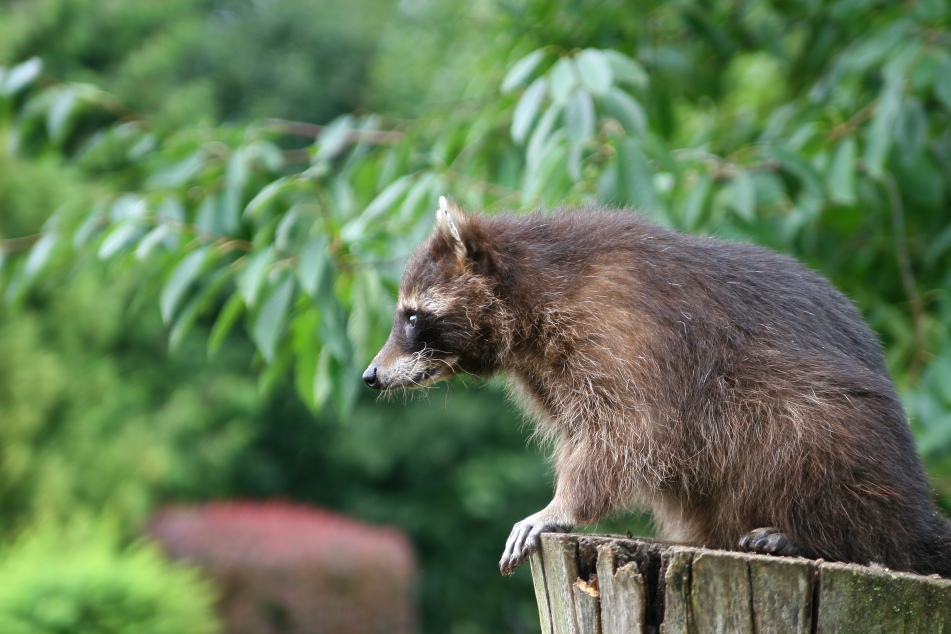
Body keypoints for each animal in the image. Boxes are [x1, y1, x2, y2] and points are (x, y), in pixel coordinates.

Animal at [360, 196, 948, 572]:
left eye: (411, 317)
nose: (369, 375)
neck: (534, 285)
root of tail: (917, 509)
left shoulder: (626, 330)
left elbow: (630, 431)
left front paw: (560, 506)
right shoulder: (549, 367)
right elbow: (595, 433)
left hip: (833, 425)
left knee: (800, 431)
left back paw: (814, 536)